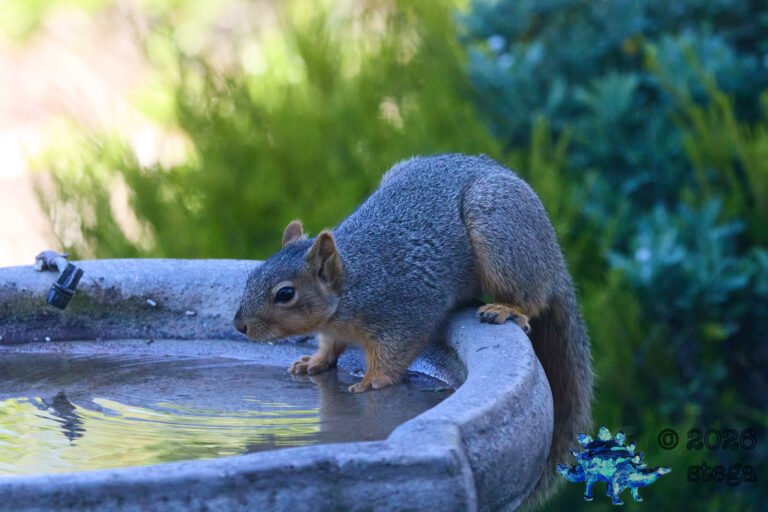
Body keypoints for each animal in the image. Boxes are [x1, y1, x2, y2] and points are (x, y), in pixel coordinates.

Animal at [233, 153, 593, 505]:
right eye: (251, 278)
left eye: (285, 294)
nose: (240, 325)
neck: (350, 286)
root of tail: (554, 258)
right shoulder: (335, 330)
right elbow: (329, 347)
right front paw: (314, 362)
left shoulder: (406, 311)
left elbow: (395, 351)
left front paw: (372, 379)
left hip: (501, 231)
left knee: (533, 297)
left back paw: (508, 308)